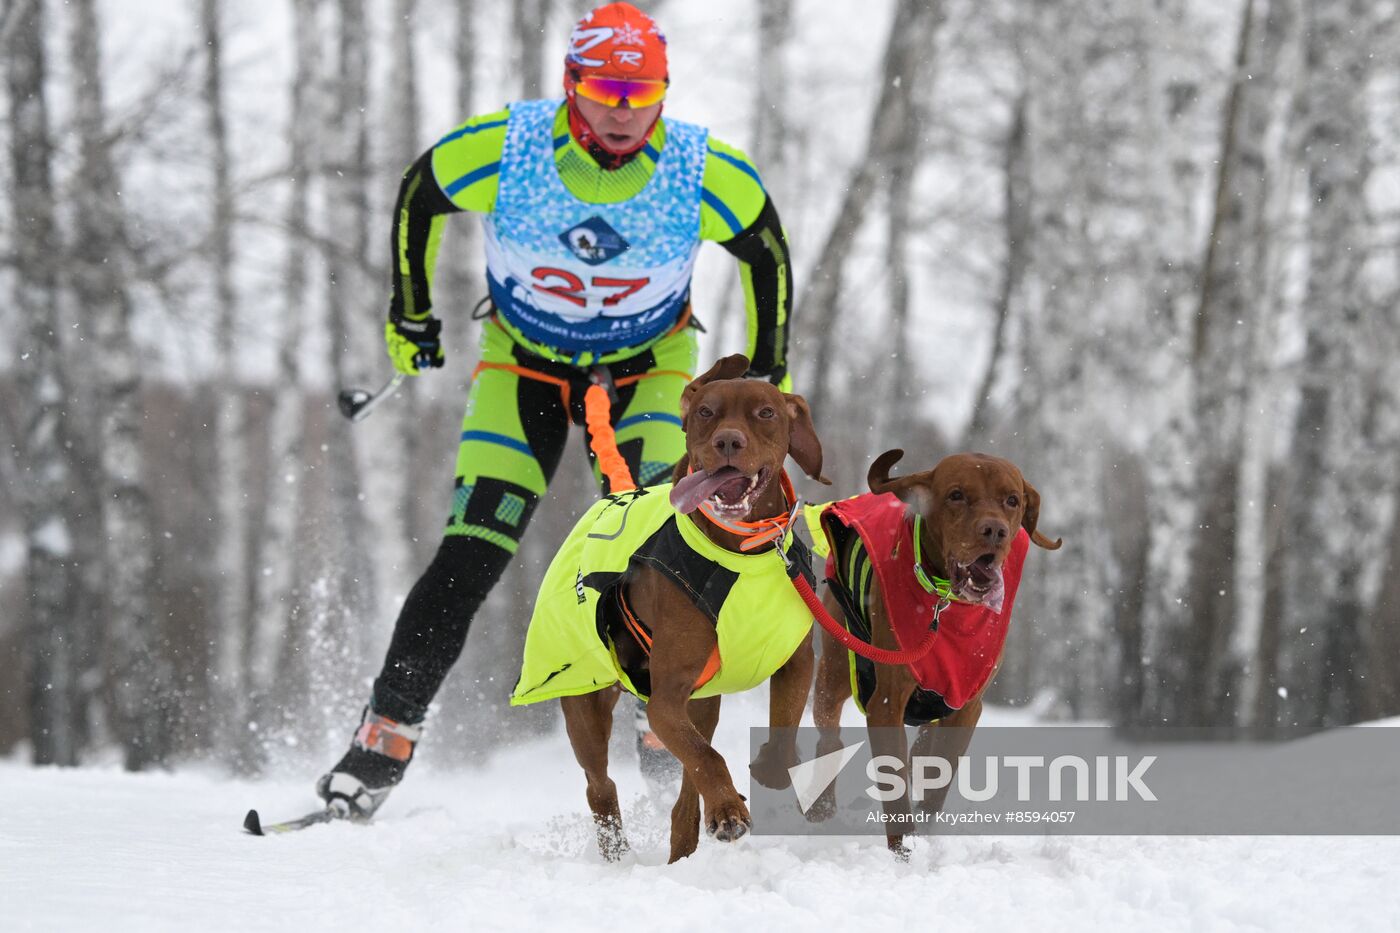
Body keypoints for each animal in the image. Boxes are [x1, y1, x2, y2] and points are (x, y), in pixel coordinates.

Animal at [512, 354, 817, 857]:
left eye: (766, 412)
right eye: (707, 412)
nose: (728, 441)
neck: (741, 554)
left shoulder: (796, 662)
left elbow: (778, 738)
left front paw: (758, 778)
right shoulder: (665, 700)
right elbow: (704, 757)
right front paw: (728, 809)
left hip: (704, 701)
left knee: (685, 787)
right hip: (585, 702)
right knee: (601, 783)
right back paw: (622, 851)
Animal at [812, 448, 1058, 851]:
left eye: (1012, 500)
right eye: (956, 495)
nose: (995, 531)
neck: (947, 605)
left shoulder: (966, 704)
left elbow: (939, 776)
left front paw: (924, 831)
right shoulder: (886, 702)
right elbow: (895, 785)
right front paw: (904, 851)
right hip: (834, 668)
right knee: (829, 735)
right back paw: (821, 809)